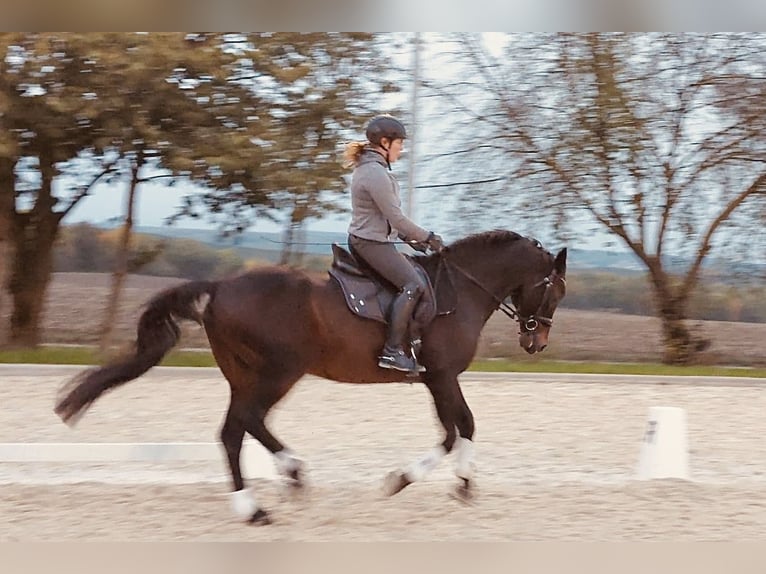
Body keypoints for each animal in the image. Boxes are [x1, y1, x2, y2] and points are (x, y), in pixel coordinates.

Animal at [54, 230, 568, 528]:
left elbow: (460, 427)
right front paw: (409, 480)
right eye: (554, 290)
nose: (537, 342)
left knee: (239, 429)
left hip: (247, 373)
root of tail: (220, 287)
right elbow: (456, 429)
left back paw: (277, 487)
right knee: (241, 427)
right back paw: (267, 497)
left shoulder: (438, 380)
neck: (460, 290)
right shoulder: (441, 376)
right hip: (278, 371)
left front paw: (457, 484)